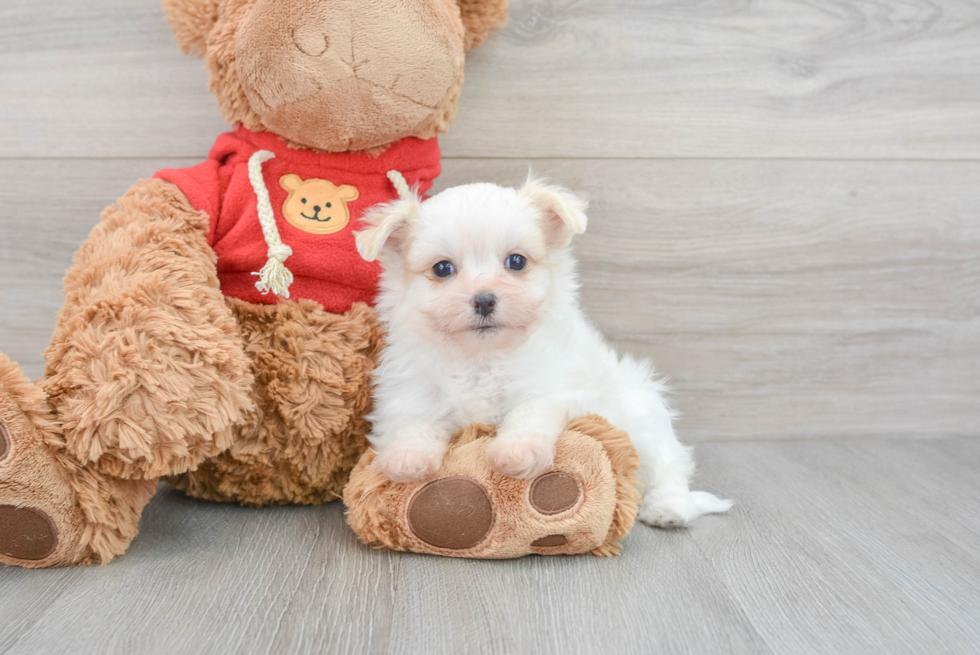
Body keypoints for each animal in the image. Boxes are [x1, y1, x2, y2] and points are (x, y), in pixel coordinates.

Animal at [356, 177, 732, 524]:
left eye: (516, 262)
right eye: (442, 268)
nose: (484, 299)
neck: (482, 355)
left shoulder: (550, 382)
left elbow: (527, 413)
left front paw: (515, 452)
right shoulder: (412, 390)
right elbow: (414, 423)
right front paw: (407, 459)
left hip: (644, 419)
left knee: (670, 468)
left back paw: (668, 508)